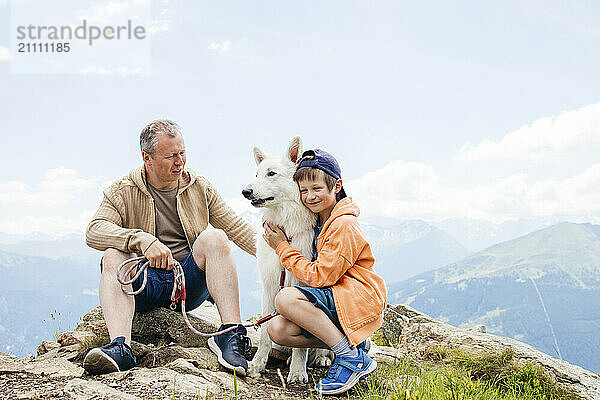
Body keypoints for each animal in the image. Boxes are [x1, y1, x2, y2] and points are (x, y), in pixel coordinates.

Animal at [244, 136, 332, 382]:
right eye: (256, 174)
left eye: (271, 174)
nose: (245, 191)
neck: (286, 230)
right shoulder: (270, 285)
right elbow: (265, 333)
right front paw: (257, 364)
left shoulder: (299, 285)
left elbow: (301, 346)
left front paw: (298, 371)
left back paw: (319, 358)